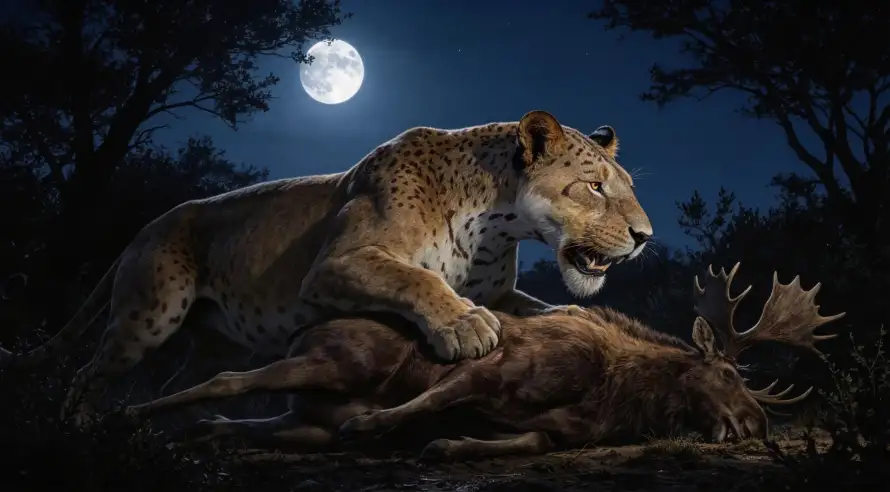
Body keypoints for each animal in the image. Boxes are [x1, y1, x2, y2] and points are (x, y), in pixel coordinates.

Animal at [125, 263, 844, 460]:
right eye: (726, 372)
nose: (757, 425)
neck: (619, 393)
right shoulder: (491, 369)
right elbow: (432, 397)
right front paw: (385, 428)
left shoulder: (553, 430)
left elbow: (524, 441)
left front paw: (450, 446)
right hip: (334, 365)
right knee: (224, 378)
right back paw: (131, 417)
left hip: (308, 418)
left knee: (247, 421)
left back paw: (198, 434)